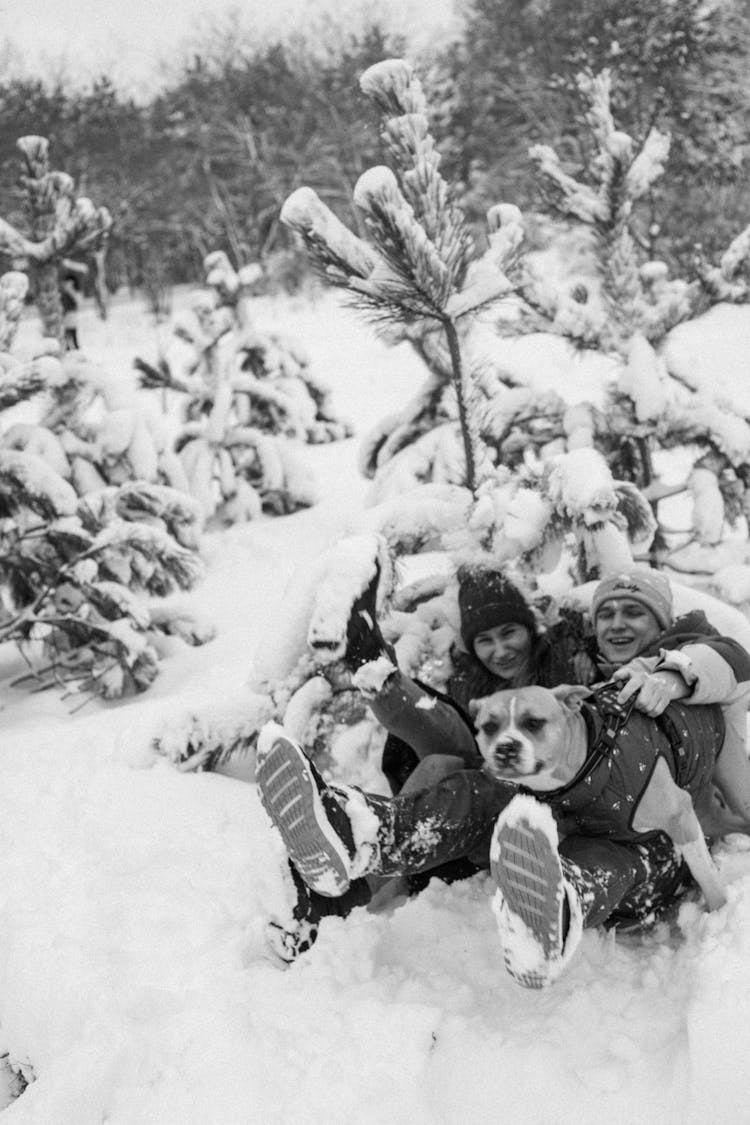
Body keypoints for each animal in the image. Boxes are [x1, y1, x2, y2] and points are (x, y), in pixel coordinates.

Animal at [470, 684, 737, 913]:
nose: (505, 748)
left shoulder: (679, 814)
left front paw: (718, 909)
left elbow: (705, 874)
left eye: (534, 723)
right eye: (489, 727)